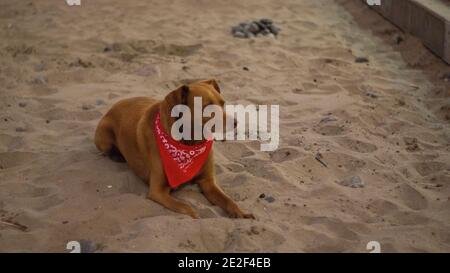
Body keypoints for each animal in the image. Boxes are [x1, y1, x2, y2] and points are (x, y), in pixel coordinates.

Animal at [94, 78, 255, 219]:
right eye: (207, 107)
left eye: (223, 103)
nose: (235, 122)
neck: (190, 143)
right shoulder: (158, 191)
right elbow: (186, 207)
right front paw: (195, 215)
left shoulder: (208, 182)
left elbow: (228, 199)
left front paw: (240, 212)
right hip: (104, 134)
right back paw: (117, 155)